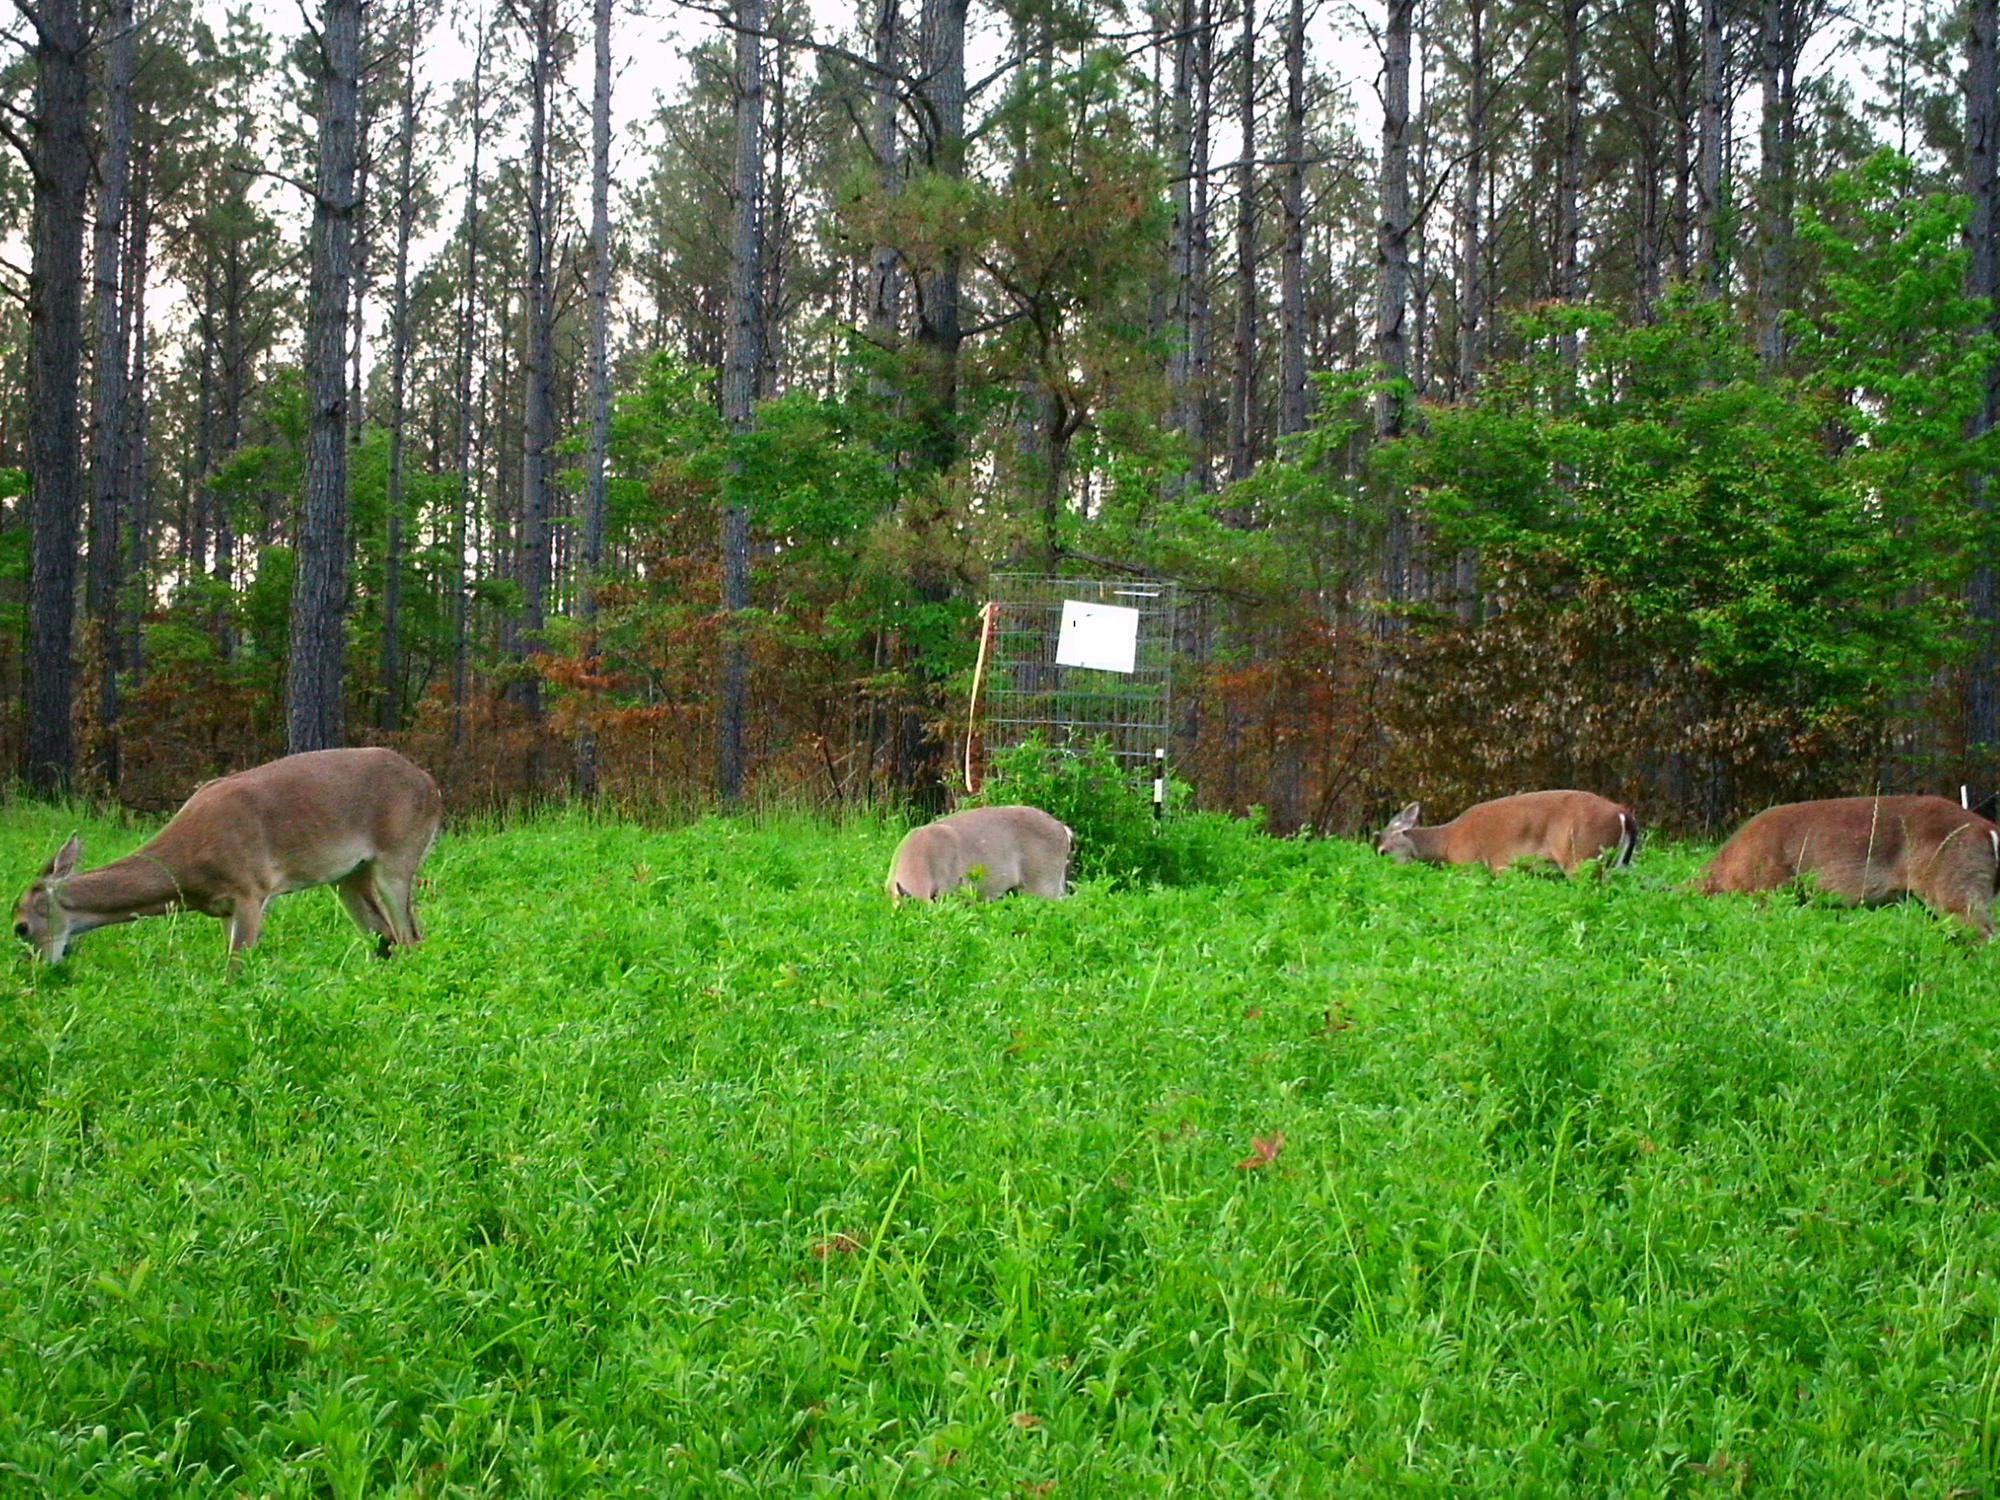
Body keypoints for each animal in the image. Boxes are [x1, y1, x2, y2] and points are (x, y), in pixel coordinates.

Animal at [16, 748, 442, 968]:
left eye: (20, 927)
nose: (37, 972)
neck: (187, 869)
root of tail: (431, 784)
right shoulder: (223, 909)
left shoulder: (251, 888)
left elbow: (236, 968)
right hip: (349, 876)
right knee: (386, 937)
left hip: (398, 853)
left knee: (411, 936)